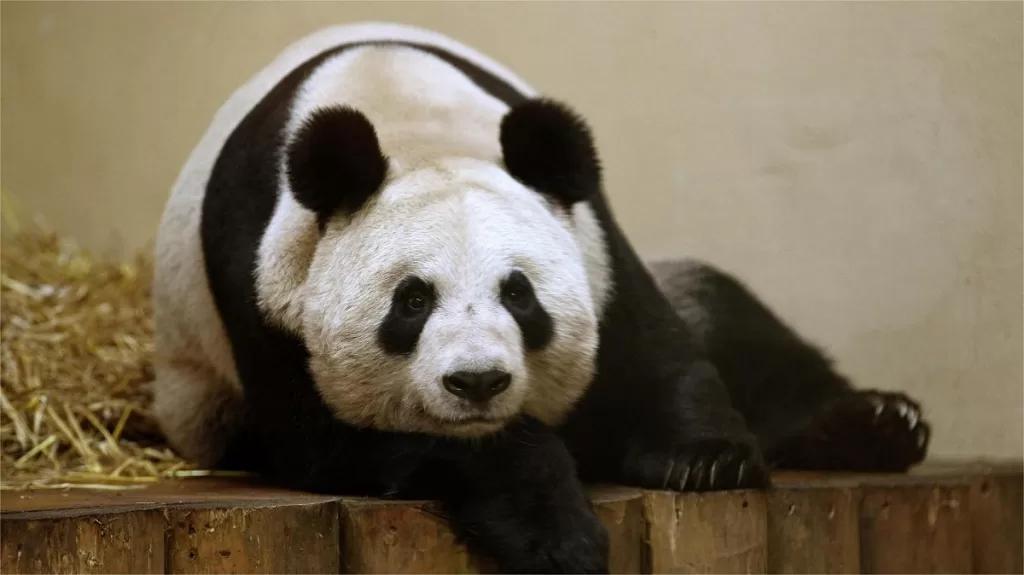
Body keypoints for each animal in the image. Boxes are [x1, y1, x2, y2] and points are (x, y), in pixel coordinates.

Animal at [152, 22, 931, 573]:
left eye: (520, 295)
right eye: (411, 302)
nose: (478, 381)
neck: (409, 122)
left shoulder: (592, 239)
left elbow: (660, 353)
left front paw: (708, 458)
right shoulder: (264, 296)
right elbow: (339, 439)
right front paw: (556, 534)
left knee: (733, 320)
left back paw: (877, 423)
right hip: (206, 400)